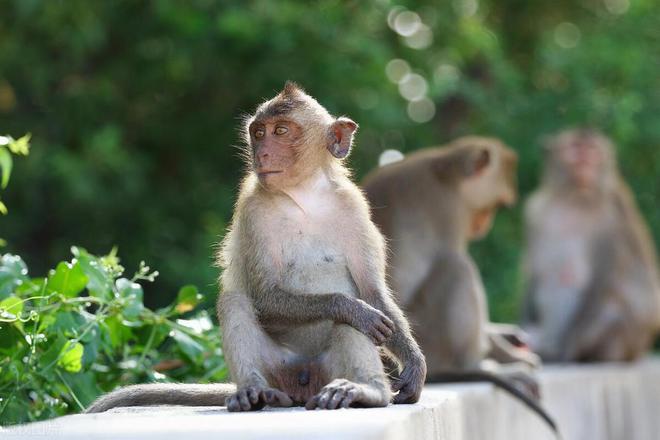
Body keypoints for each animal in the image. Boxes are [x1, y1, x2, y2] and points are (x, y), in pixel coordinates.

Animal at [85, 83, 426, 416]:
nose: (262, 152)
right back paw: (254, 392)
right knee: (237, 302)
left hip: (327, 369)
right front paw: (349, 307)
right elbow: (267, 296)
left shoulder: (354, 208)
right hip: (277, 367)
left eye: (282, 131)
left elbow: (372, 294)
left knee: (358, 324)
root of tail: (302, 386)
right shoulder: (253, 211)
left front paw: (414, 363)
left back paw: (365, 391)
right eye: (259, 132)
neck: (305, 198)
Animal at [360, 138, 556, 434]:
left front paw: (505, 337)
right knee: (457, 266)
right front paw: (506, 356)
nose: (484, 224)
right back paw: (477, 366)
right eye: (495, 205)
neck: (445, 171)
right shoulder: (448, 211)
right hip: (432, 337)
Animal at [520, 129, 660, 362]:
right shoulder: (535, 211)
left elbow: (602, 281)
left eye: (593, 152)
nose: (585, 164)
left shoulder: (611, 220)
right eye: (575, 150)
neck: (573, 199)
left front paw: (566, 351)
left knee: (613, 314)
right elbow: (533, 275)